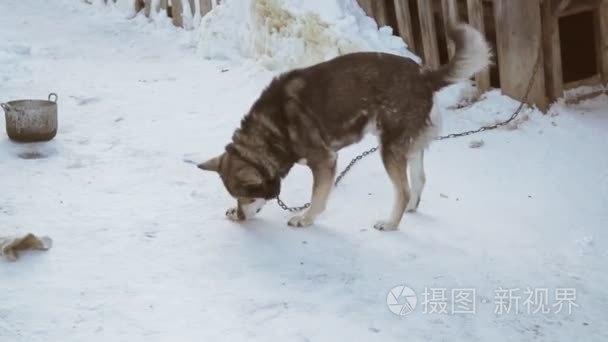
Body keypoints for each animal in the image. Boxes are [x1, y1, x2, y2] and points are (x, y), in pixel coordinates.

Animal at [197, 21, 492, 230]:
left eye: (246, 196)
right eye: (237, 197)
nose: (239, 217)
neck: (272, 130)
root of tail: (425, 76)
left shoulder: (324, 160)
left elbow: (318, 197)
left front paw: (305, 218)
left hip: (388, 149)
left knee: (404, 189)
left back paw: (390, 223)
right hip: (409, 146)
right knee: (418, 181)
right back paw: (409, 208)